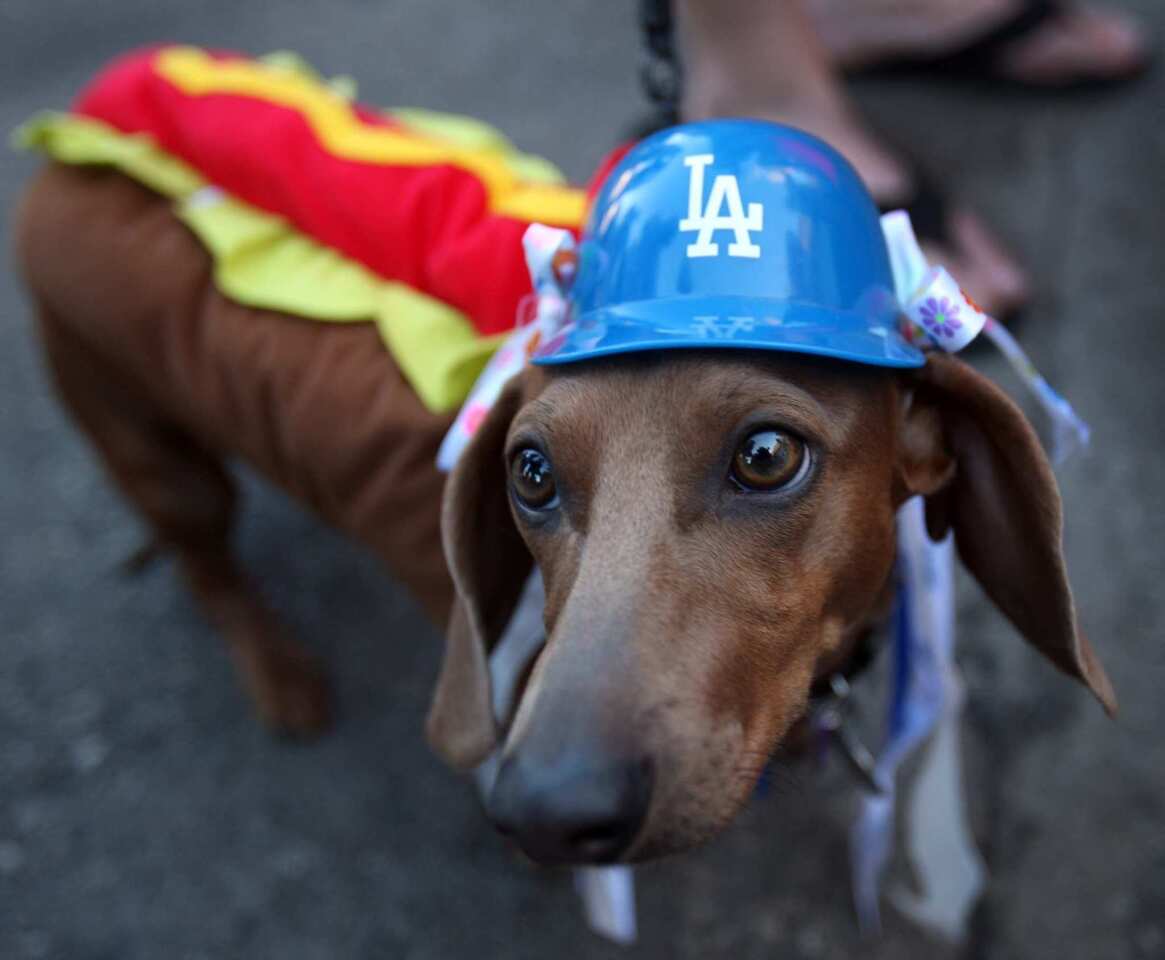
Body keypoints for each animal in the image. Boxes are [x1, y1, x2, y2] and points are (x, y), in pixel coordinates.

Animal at [13, 120, 1113, 871]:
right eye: (530, 473)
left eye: (767, 455)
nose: (542, 811)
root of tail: (75, 137)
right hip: (151, 444)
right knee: (208, 566)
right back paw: (280, 676)